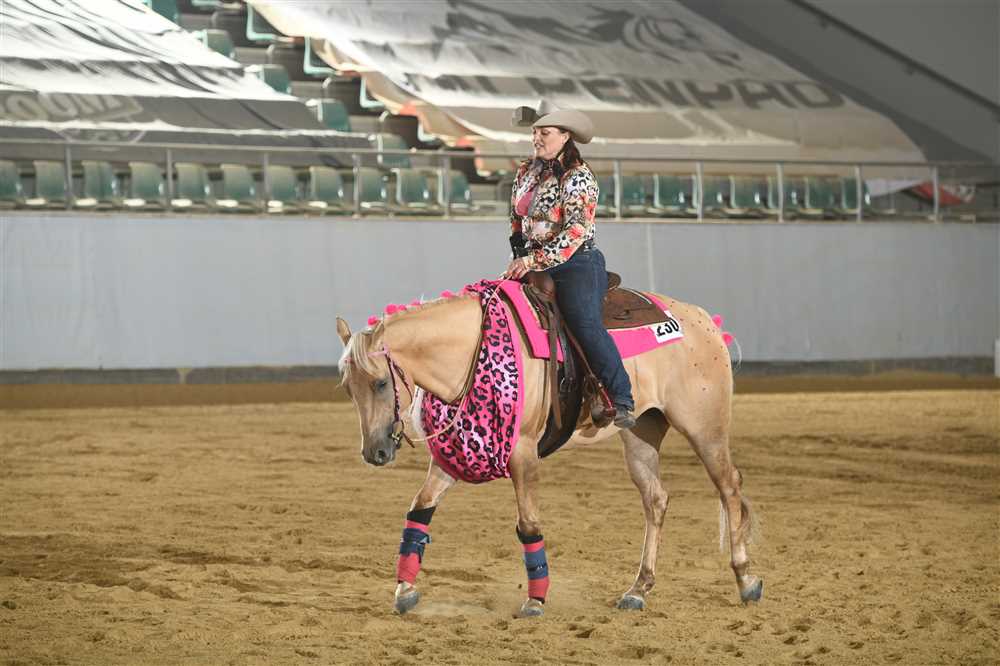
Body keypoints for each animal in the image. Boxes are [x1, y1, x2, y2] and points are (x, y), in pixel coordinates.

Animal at [335, 283, 762, 618]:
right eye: (347, 388)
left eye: (380, 384)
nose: (374, 453)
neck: (473, 350)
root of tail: (702, 321)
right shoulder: (452, 456)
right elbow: (420, 509)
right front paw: (405, 590)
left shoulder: (523, 454)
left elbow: (528, 525)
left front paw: (536, 600)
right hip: (642, 432)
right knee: (656, 500)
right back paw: (638, 589)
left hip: (704, 428)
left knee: (730, 488)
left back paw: (746, 579)